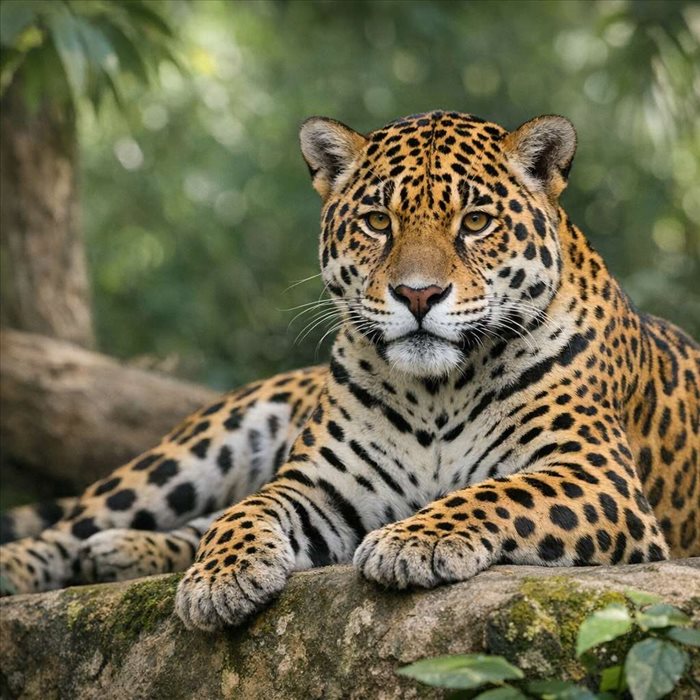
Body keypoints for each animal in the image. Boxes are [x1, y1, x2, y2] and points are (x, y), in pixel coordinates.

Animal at [1, 110, 697, 633]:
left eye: (475, 222)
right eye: (377, 221)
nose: (418, 295)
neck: (439, 391)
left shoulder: (597, 477)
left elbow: (499, 492)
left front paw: (411, 541)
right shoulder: (321, 485)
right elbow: (246, 510)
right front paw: (220, 577)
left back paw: (119, 554)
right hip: (190, 451)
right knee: (79, 523)